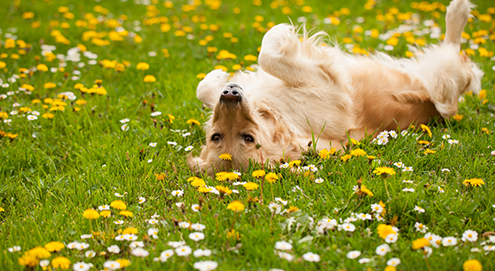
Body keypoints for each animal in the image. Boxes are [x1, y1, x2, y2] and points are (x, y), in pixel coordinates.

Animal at [189, 0, 484, 176]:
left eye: (214, 136)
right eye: (246, 138)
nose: (230, 94)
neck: (279, 115)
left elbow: (204, 87)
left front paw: (217, 75)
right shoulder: (328, 83)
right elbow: (268, 54)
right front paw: (281, 33)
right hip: (441, 77)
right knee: (457, 57)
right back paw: (458, 11)